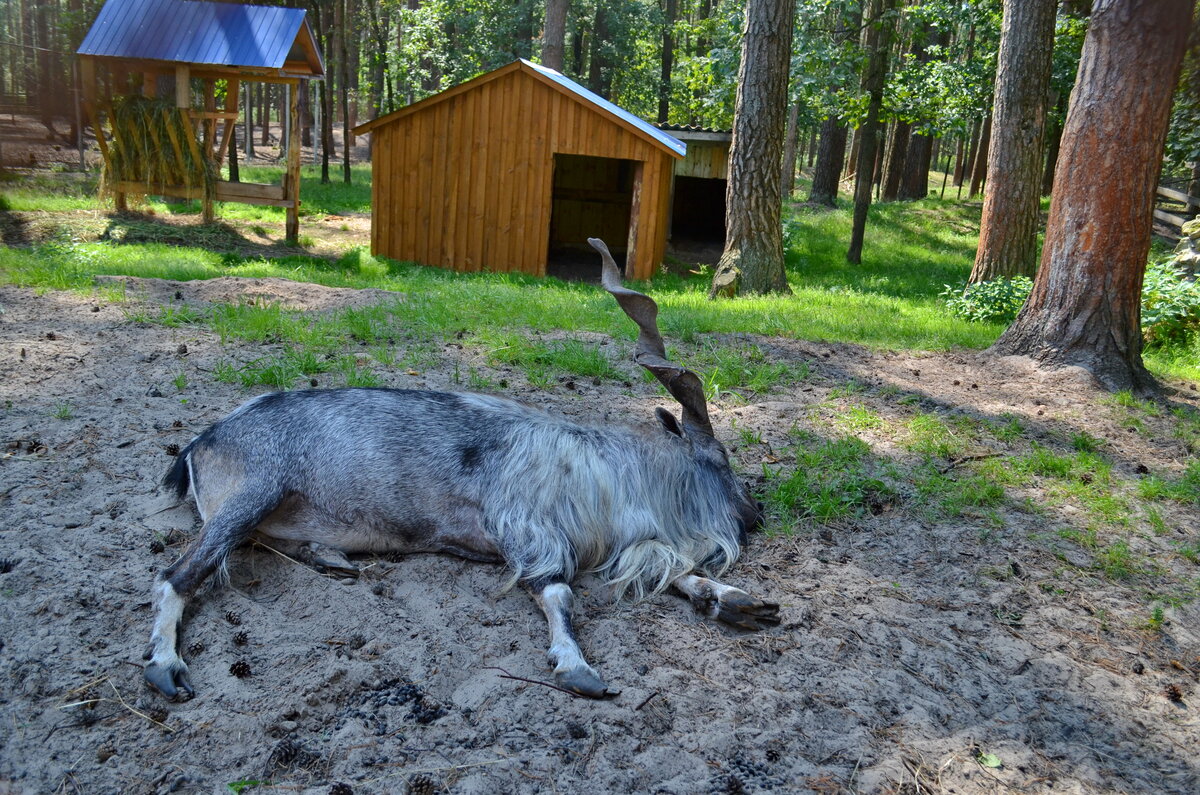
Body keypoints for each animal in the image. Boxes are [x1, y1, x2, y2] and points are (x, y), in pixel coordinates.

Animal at [142, 240, 777, 701]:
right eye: (722, 462)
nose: (756, 516)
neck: (596, 474)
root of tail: (204, 440)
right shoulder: (528, 536)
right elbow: (559, 594)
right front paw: (577, 668)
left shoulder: (609, 541)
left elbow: (673, 572)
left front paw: (738, 602)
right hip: (248, 497)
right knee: (177, 575)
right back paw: (165, 667)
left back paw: (331, 558)